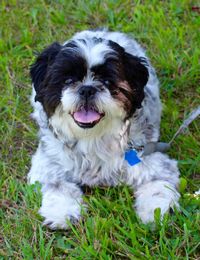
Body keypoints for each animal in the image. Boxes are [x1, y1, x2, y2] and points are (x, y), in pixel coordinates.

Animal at [28, 29, 180, 230]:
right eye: (68, 80)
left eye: (108, 82)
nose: (86, 89)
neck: (93, 137)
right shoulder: (49, 162)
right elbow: (58, 185)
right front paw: (62, 212)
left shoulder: (153, 159)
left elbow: (158, 186)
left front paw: (155, 213)